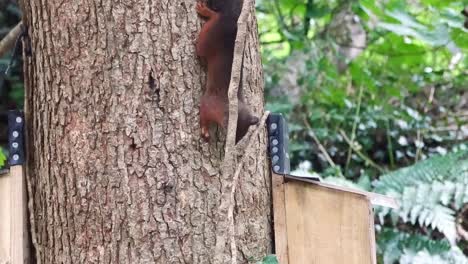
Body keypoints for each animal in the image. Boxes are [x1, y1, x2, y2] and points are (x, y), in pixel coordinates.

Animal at [195, 1, 258, 143]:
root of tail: (233, 19)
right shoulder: (210, 104)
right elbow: (203, 113)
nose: (232, 144)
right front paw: (205, 130)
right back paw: (206, 11)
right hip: (209, 35)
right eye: (232, 131)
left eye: (242, 135)